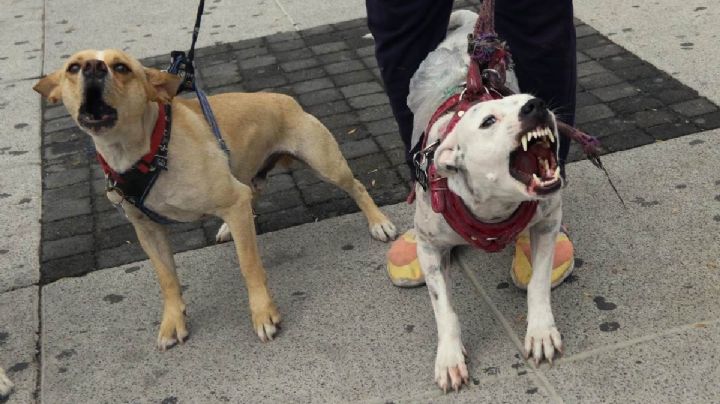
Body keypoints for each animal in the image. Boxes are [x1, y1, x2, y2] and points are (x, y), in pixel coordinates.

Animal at [33, 49, 396, 350]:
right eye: (73, 67)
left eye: (121, 67)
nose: (93, 68)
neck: (145, 150)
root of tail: (283, 97)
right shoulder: (147, 229)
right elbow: (167, 279)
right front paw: (173, 322)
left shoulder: (233, 201)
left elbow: (249, 265)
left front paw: (263, 314)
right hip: (250, 172)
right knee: (255, 192)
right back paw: (227, 228)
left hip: (325, 164)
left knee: (357, 187)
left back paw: (379, 223)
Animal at [408, 10, 564, 394]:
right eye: (488, 121)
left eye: (528, 99)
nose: (536, 105)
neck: (494, 207)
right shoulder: (429, 247)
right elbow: (444, 309)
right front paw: (450, 358)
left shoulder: (548, 221)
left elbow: (539, 282)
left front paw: (541, 332)